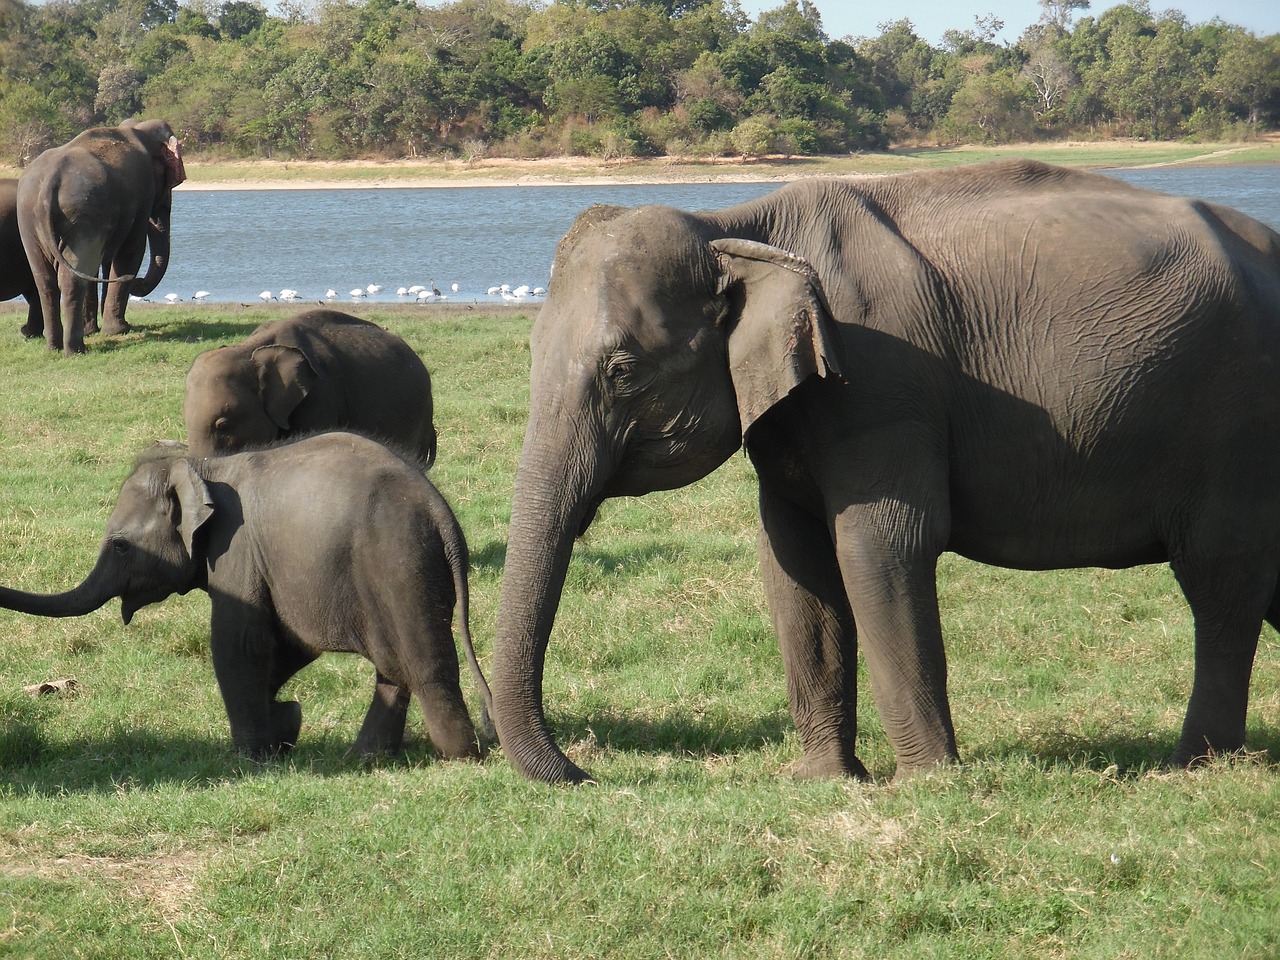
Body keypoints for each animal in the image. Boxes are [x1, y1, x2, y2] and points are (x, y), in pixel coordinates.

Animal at [0, 432, 491, 762]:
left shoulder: (236, 550)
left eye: (120, 545)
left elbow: (238, 642)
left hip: (399, 565)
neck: (204, 466)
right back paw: (365, 758)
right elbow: (287, 644)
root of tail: (441, 513)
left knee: (424, 665)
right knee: (393, 668)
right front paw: (286, 724)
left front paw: (254, 755)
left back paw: (458, 755)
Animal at [16, 116, 184, 355]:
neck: (137, 128)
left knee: (46, 280)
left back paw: (54, 348)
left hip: (30, 221)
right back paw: (76, 350)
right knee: (73, 277)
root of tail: (50, 181)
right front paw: (119, 330)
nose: (139, 283)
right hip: (82, 213)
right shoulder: (143, 192)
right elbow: (132, 250)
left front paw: (95, 330)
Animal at [488, 160, 1280, 788]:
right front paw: (820, 780)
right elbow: (794, 560)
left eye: (622, 372)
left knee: (1222, 584)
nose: (588, 771)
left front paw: (926, 782)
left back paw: (1193, 768)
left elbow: (880, 545)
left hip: (1236, 425)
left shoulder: (882, 384)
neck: (738, 226)